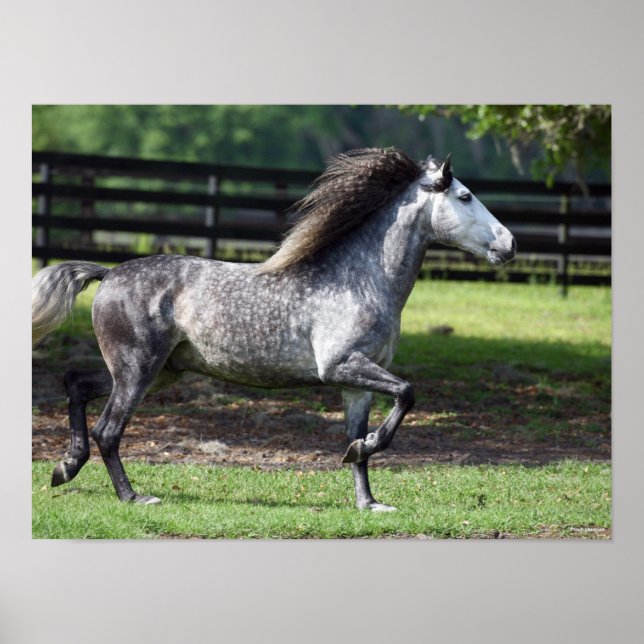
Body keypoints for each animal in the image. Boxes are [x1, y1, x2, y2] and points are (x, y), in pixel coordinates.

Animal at [32, 148, 515, 511]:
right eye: (466, 196)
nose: (509, 244)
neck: (360, 279)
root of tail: (109, 273)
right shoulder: (341, 367)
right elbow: (407, 394)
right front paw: (365, 455)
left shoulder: (356, 383)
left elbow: (362, 434)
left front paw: (369, 500)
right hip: (139, 370)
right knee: (109, 430)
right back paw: (132, 496)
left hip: (158, 371)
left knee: (76, 383)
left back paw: (65, 467)